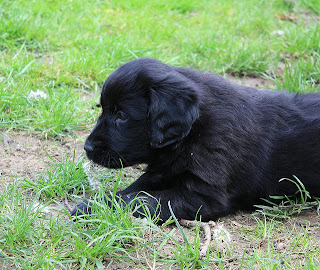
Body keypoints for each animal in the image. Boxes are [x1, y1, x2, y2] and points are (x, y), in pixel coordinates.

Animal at [71, 58, 320, 223]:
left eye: (121, 115)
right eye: (102, 108)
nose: (87, 148)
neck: (193, 133)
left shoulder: (202, 196)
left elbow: (141, 200)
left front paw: (91, 208)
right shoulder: (162, 171)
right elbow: (134, 189)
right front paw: (98, 202)